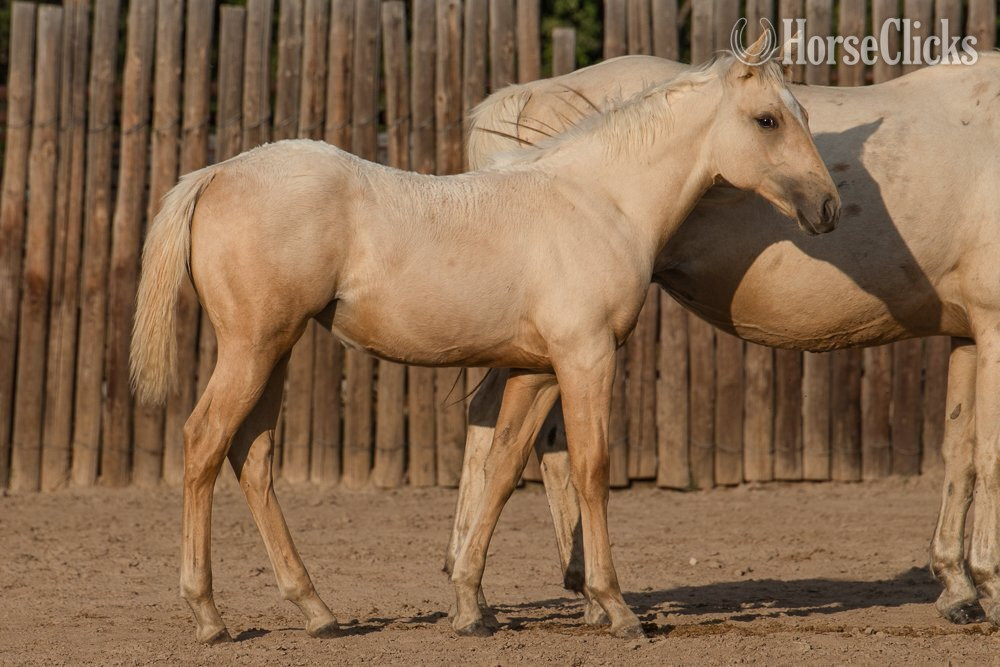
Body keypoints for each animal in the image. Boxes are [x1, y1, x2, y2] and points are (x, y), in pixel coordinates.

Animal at [129, 45, 839, 642]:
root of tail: (217, 172)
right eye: (768, 119)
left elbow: (500, 468)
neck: (598, 201)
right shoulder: (586, 358)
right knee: (204, 442)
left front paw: (470, 605)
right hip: (253, 347)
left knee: (252, 456)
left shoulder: (537, 371)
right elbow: (591, 468)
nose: (828, 208)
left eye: (803, 112)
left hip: (273, 349)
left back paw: (316, 610)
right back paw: (209, 615)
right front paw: (615, 608)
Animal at [445, 51, 1000, 629]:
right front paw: (989, 585)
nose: (827, 208)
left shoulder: (967, 332)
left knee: (501, 428)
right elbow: (990, 455)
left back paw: (491, 591)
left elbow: (960, 452)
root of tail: (527, 95)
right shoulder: (992, 326)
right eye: (769, 121)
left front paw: (958, 588)